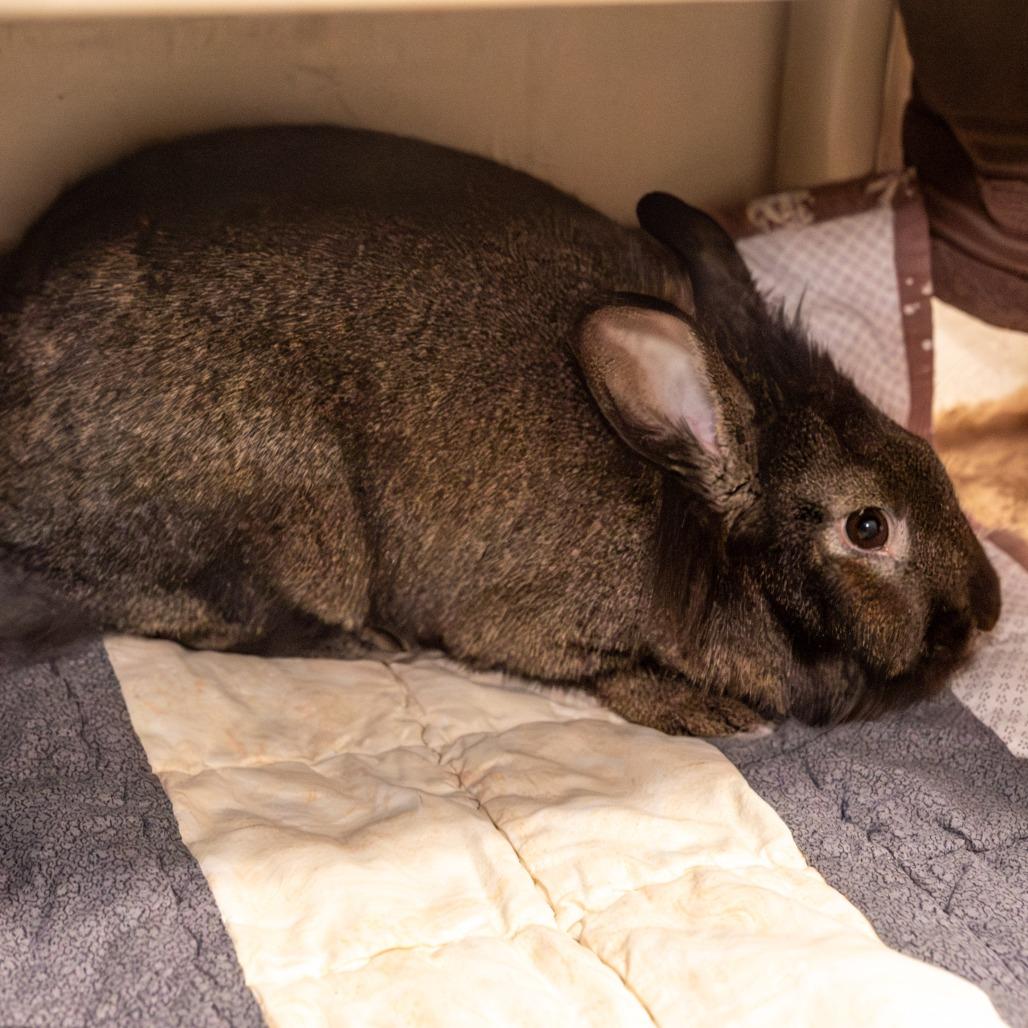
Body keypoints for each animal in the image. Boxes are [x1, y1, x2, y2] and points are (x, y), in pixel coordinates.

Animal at [0, 124, 1001, 734]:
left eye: (928, 456)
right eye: (867, 527)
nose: (990, 611)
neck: (692, 501)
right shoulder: (534, 631)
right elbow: (598, 675)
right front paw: (699, 714)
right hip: (294, 512)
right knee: (207, 617)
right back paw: (365, 644)